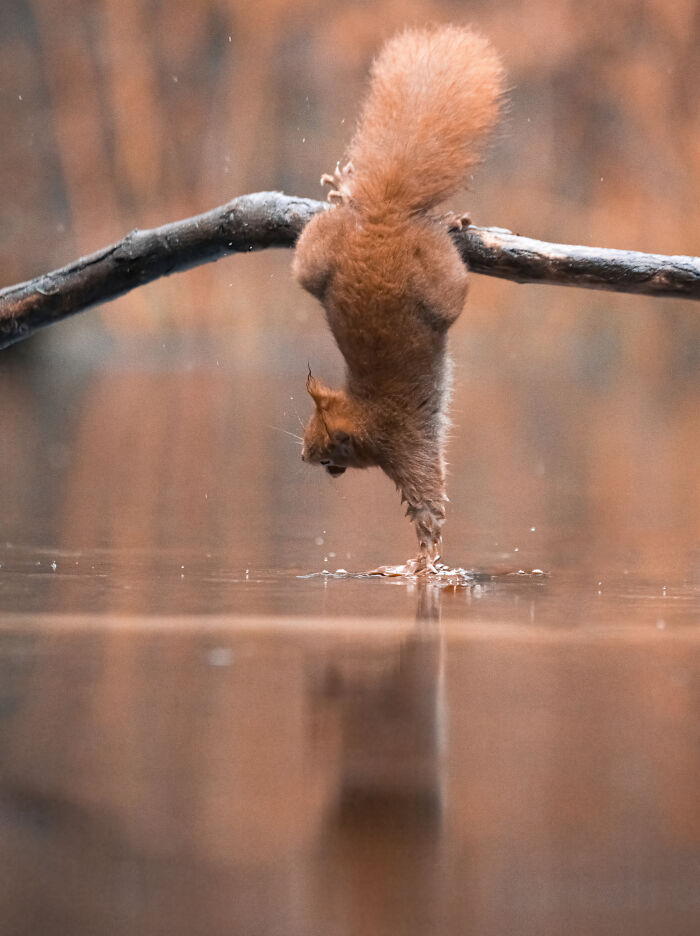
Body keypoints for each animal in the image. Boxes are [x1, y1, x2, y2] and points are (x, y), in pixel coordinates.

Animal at [293, 25, 504, 571]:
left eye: (329, 452)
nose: (302, 457)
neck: (366, 415)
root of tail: (382, 221)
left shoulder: (407, 443)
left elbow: (427, 499)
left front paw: (426, 556)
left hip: (415, 276)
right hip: (332, 264)